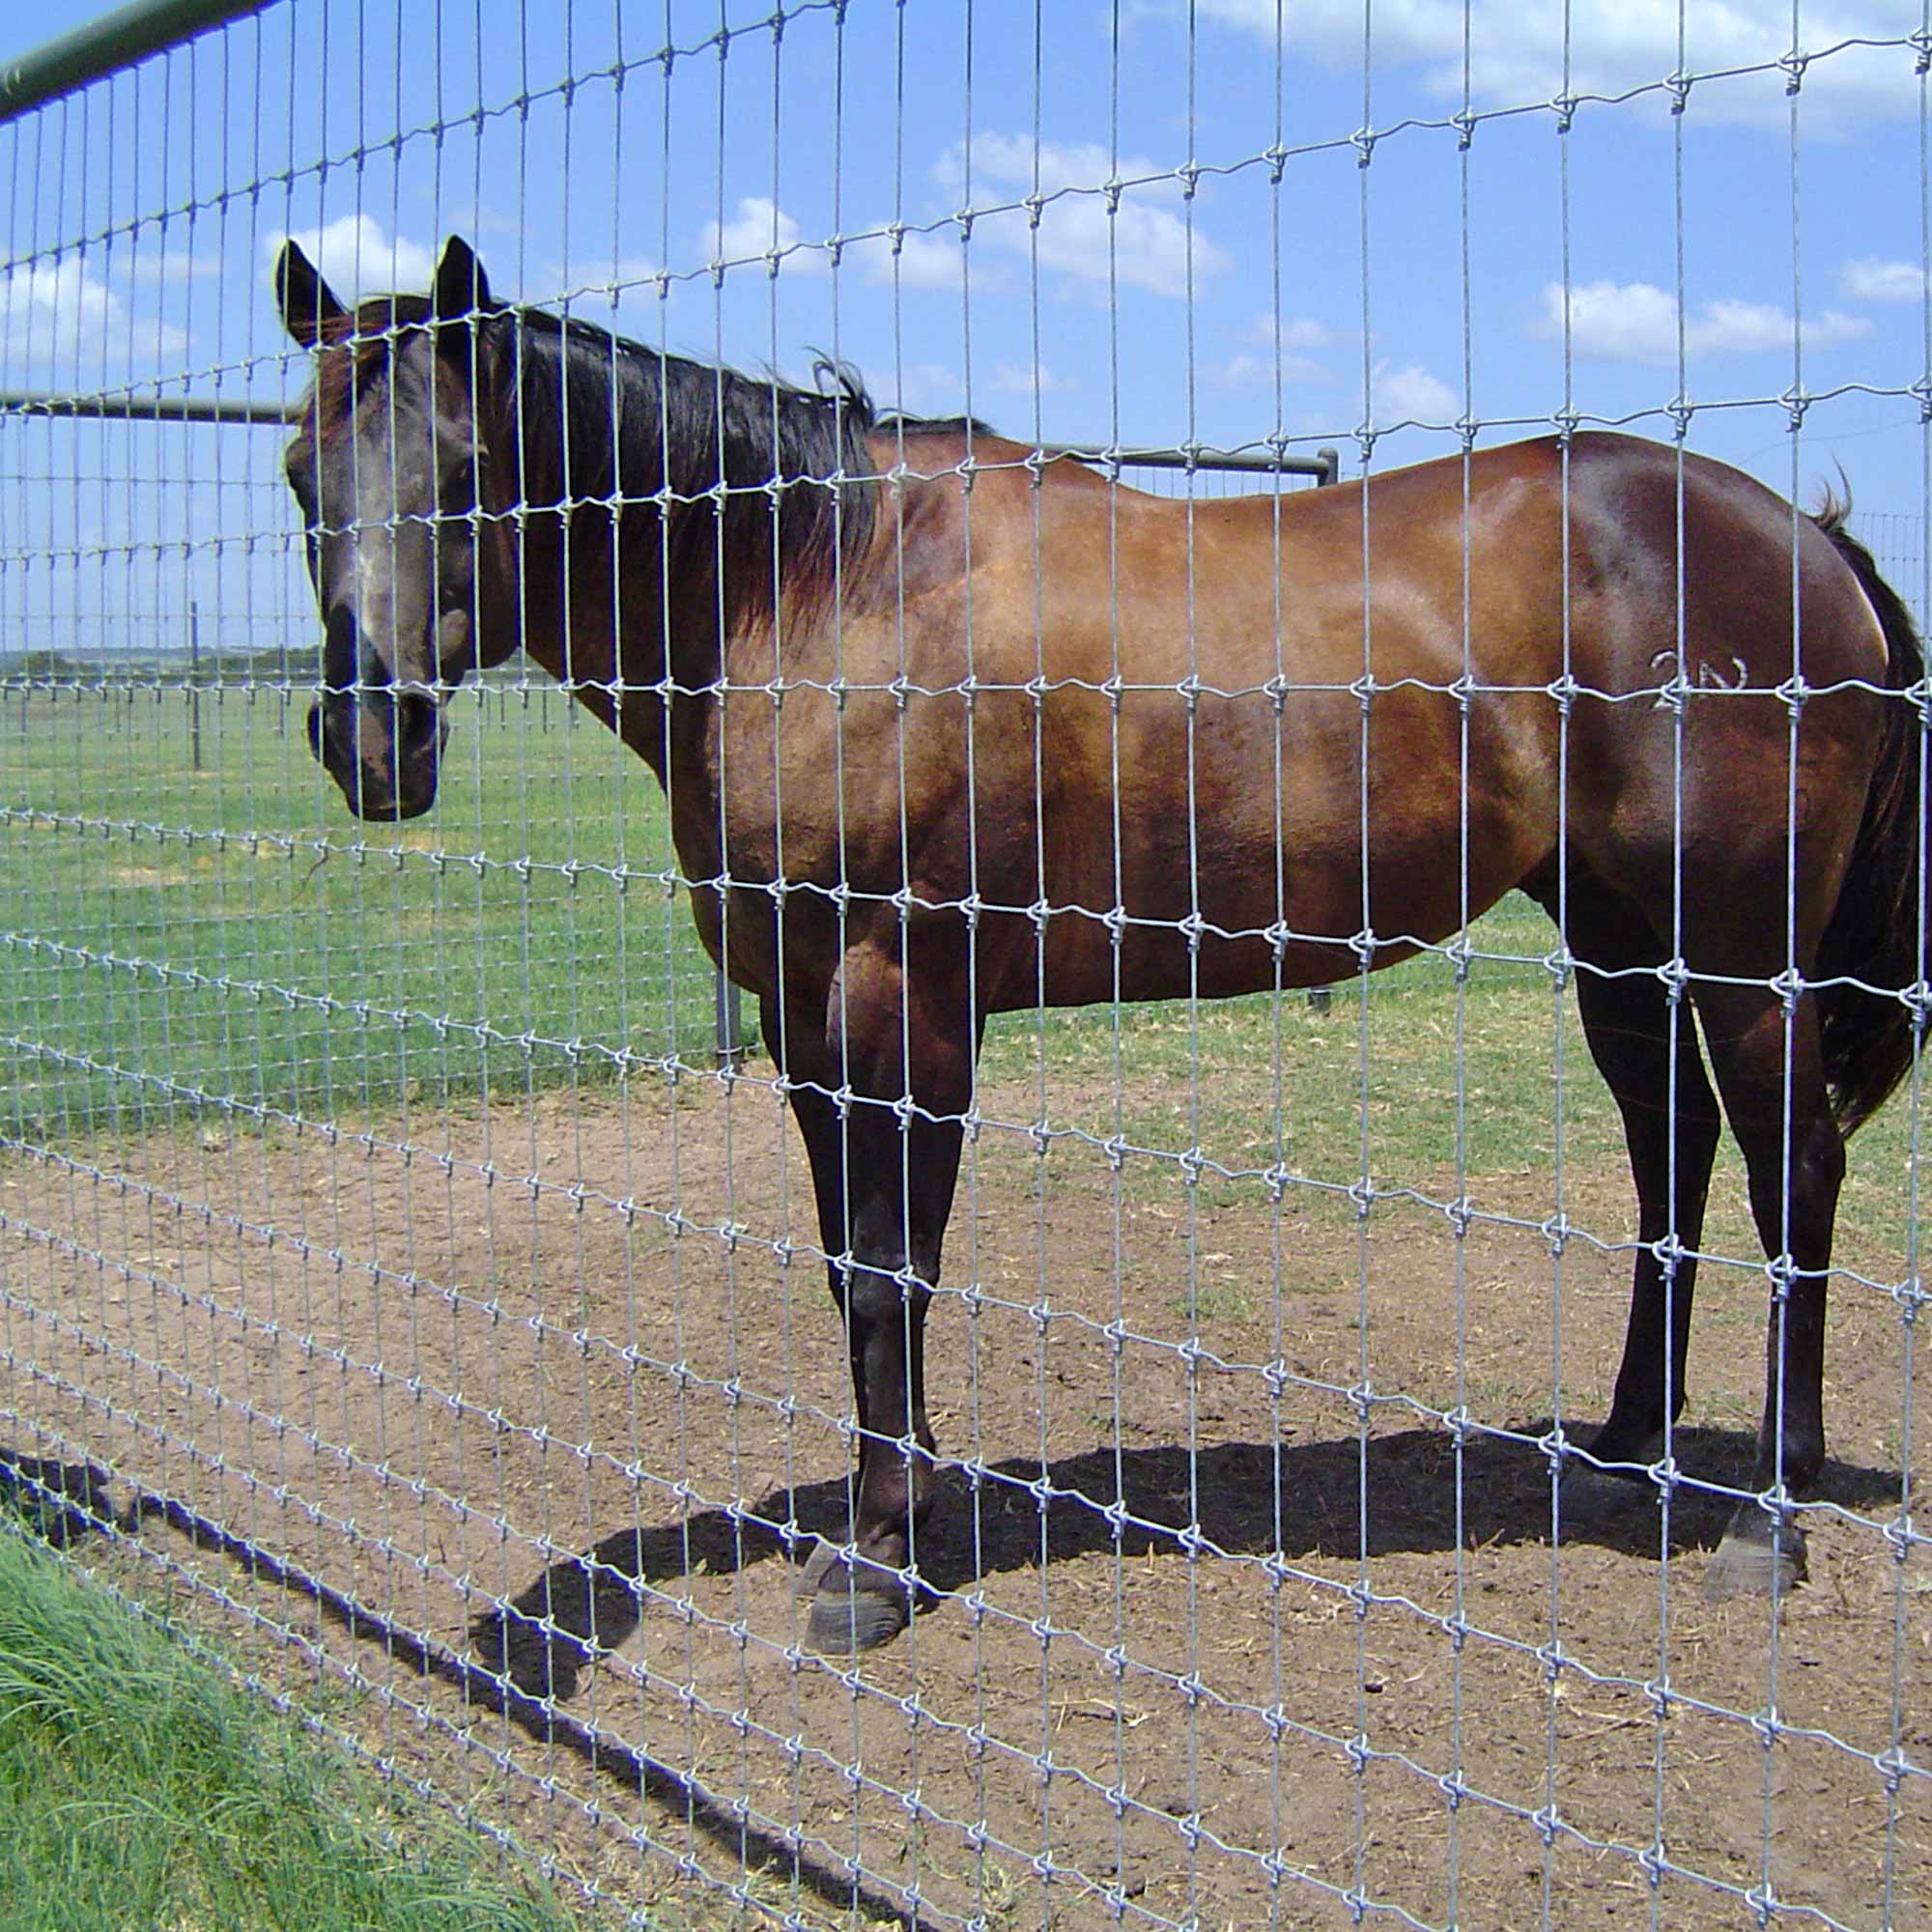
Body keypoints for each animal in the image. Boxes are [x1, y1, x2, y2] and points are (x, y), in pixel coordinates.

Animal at [280, 234, 1924, 1654]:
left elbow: (892, 1269)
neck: (819, 582)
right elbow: (846, 1267)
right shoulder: (800, 1016)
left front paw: (879, 1559)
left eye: (471, 472)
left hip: (1740, 957)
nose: (370, 739)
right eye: (303, 471)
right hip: (1619, 940)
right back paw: (1628, 1445)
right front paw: (895, 1505)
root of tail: (1811, 543)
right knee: (1671, 1152)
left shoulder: (905, 1003)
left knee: (1790, 1173)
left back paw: (1765, 1522)